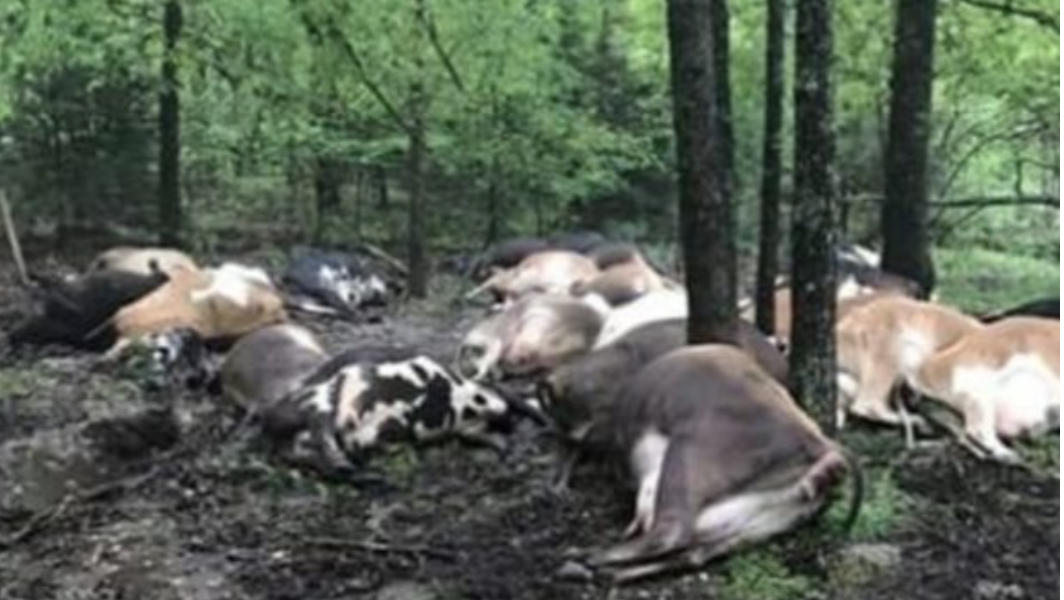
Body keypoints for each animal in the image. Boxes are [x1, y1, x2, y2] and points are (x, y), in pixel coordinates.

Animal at [557, 344, 863, 582]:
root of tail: (824, 446)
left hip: (687, 457)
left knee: (670, 532)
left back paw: (586, 557)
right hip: (756, 526)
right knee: (693, 554)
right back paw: (611, 572)